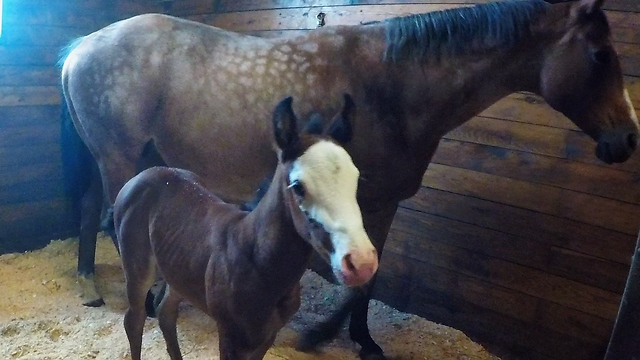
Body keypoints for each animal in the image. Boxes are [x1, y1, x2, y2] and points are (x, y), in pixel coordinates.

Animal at [114, 95, 378, 360]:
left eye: (356, 179)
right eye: (298, 186)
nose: (362, 263)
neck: (258, 262)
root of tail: (146, 174)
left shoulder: (267, 335)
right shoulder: (230, 336)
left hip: (178, 271)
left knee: (165, 313)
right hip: (138, 268)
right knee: (134, 320)